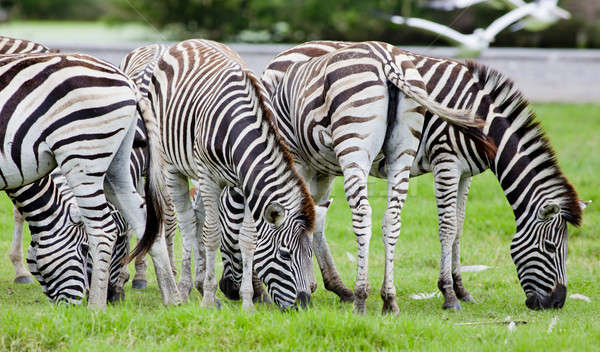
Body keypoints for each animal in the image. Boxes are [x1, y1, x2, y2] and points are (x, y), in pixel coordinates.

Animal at [0, 51, 178, 308]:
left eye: (85, 250)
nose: (69, 306)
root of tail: (129, 82)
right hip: (115, 165)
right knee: (146, 219)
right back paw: (171, 300)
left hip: (82, 151)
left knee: (103, 228)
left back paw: (96, 306)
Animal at [138, 39, 318, 310]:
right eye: (285, 254)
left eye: (310, 254)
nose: (304, 305)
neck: (239, 131)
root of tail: (189, 42)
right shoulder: (208, 176)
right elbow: (212, 234)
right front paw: (209, 297)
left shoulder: (246, 185)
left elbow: (247, 239)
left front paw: (247, 302)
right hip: (173, 167)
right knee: (188, 224)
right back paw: (184, 288)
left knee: (199, 217)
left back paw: (199, 285)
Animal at [252, 41, 580, 310]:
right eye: (552, 248)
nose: (557, 302)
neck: (482, 120)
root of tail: (281, 55)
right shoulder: (446, 161)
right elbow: (447, 227)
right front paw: (449, 294)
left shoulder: (466, 174)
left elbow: (459, 226)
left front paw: (462, 290)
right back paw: (264, 292)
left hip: (322, 163)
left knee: (314, 217)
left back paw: (335, 289)